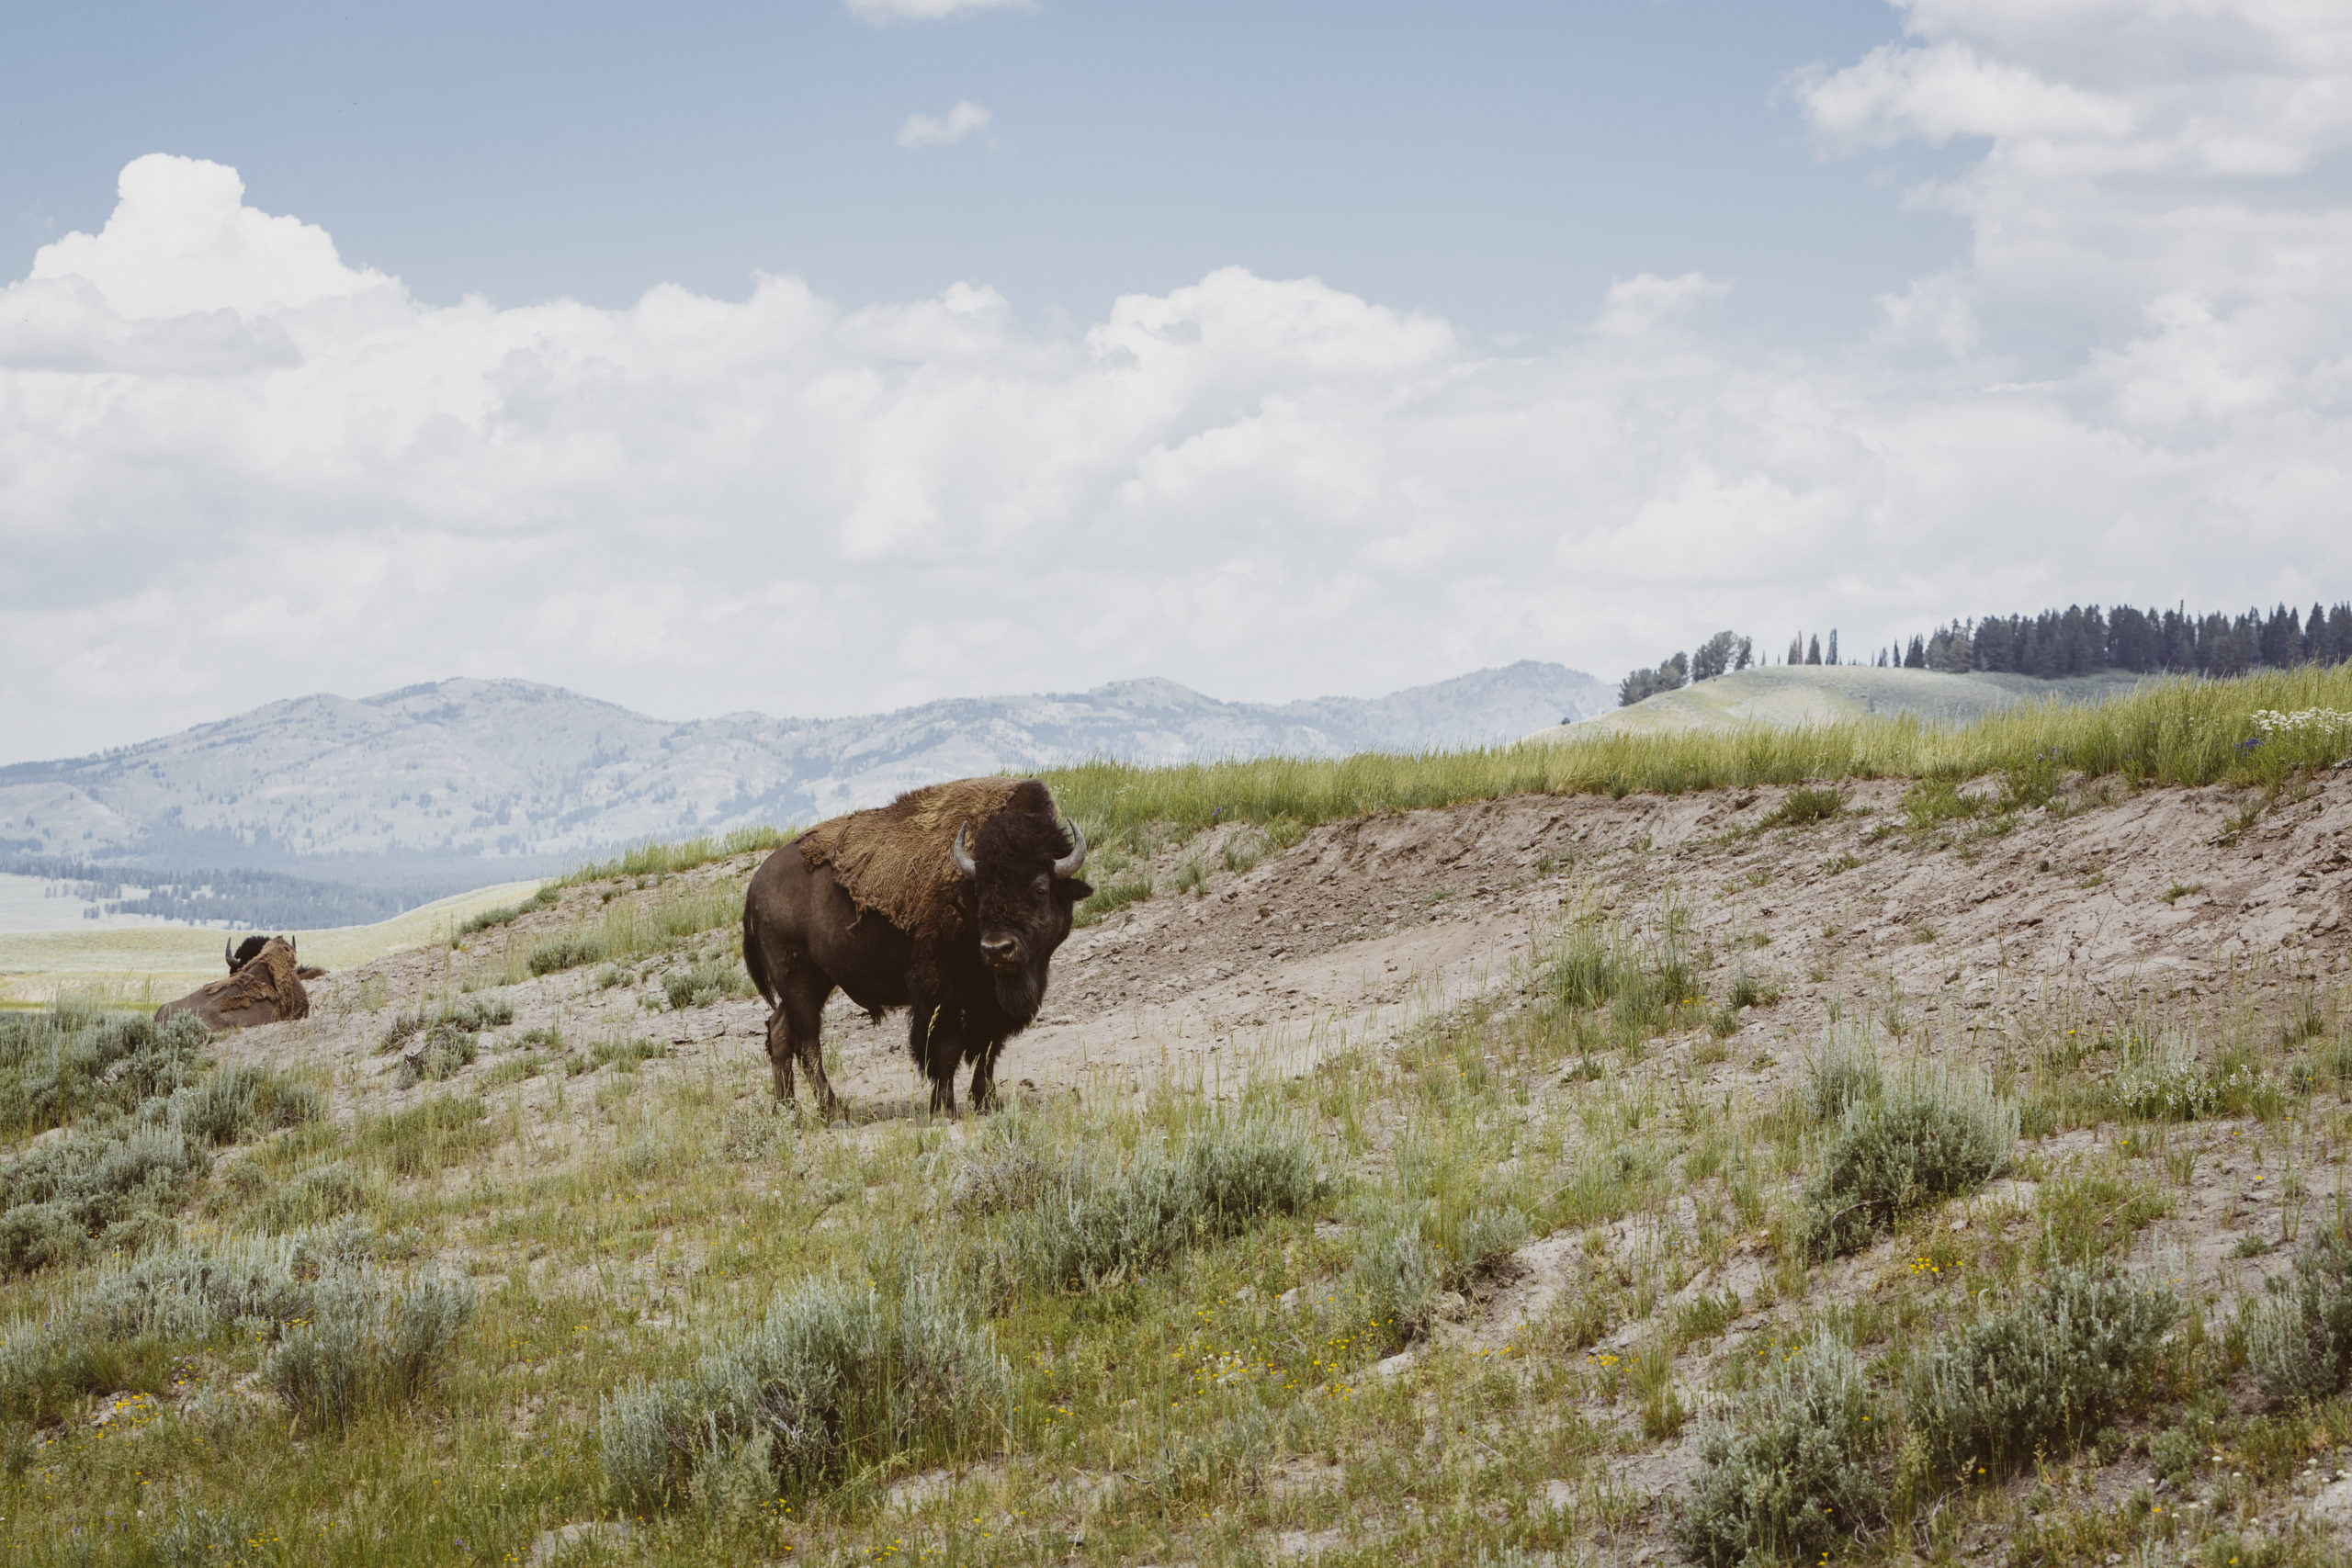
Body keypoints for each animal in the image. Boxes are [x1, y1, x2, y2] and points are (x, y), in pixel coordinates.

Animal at [742, 775, 1091, 1114]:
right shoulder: (940, 992)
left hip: (818, 980)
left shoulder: (989, 1000)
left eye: (1041, 888)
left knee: (780, 1031)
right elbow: (947, 1047)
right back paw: (832, 1109)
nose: (997, 949)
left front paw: (988, 1101)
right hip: (797, 977)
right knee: (808, 1039)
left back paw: (787, 1110)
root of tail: (756, 883)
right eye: (979, 891)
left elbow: (987, 1048)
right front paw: (944, 1106)